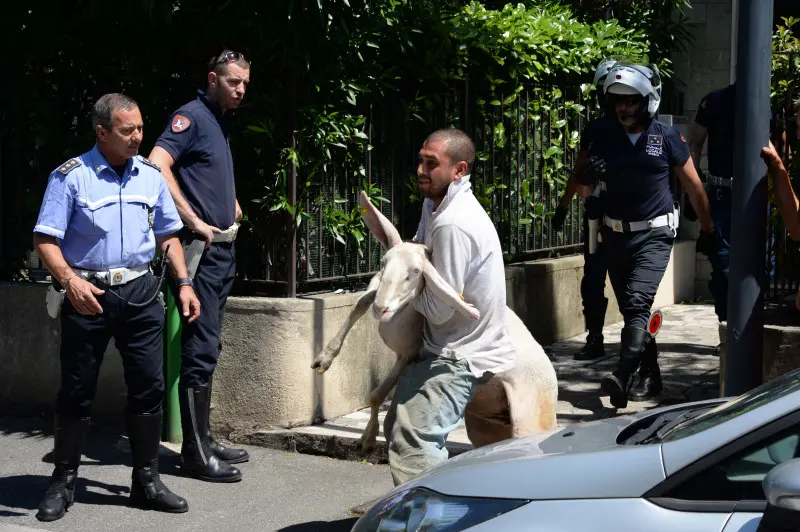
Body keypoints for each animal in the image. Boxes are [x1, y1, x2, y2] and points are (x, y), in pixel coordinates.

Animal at [310, 191, 560, 454]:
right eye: (383, 263)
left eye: (415, 272)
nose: (382, 309)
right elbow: (360, 303)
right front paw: (323, 360)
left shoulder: (408, 354)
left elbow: (376, 395)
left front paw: (367, 440)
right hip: (487, 425)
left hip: (532, 413)